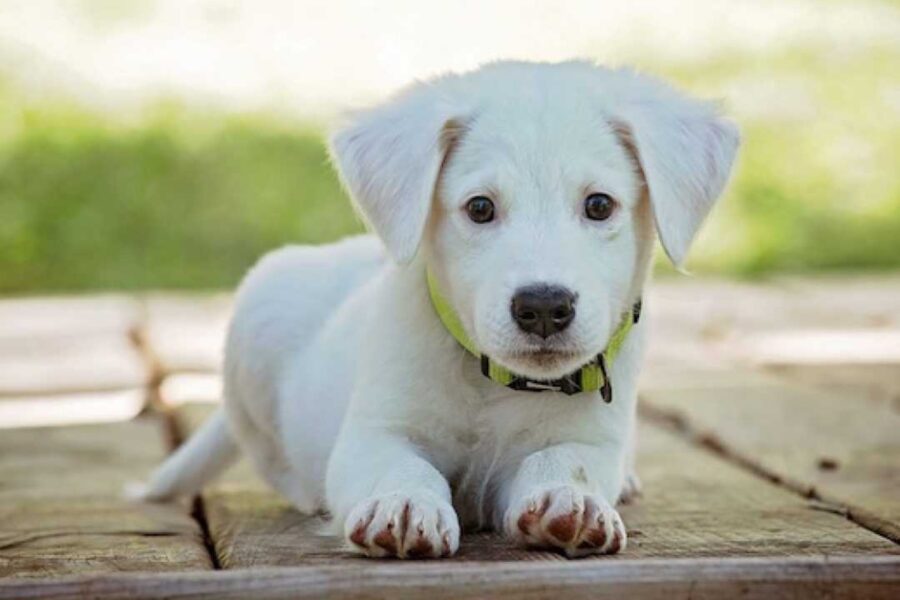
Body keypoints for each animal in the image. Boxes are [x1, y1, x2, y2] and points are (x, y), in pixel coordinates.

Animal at [142, 61, 740, 556]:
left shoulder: (590, 438)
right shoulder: (374, 433)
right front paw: (404, 504)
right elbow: (401, 466)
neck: (492, 383)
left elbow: (565, 461)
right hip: (258, 321)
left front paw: (570, 500)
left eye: (599, 205)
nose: (544, 306)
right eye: (479, 208)